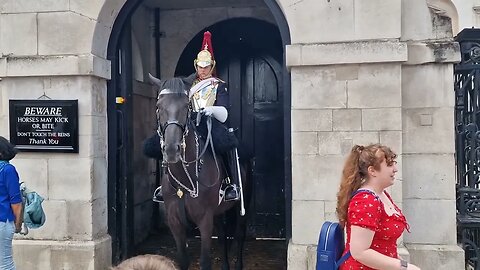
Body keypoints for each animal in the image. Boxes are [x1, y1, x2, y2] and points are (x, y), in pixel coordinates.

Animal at [146, 74, 251, 270]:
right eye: (158, 106)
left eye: (187, 106)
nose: (172, 150)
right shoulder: (175, 222)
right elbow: (183, 260)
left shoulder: (204, 220)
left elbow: (205, 261)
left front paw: (204, 111)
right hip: (219, 211)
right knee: (223, 236)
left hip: (244, 200)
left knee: (240, 233)